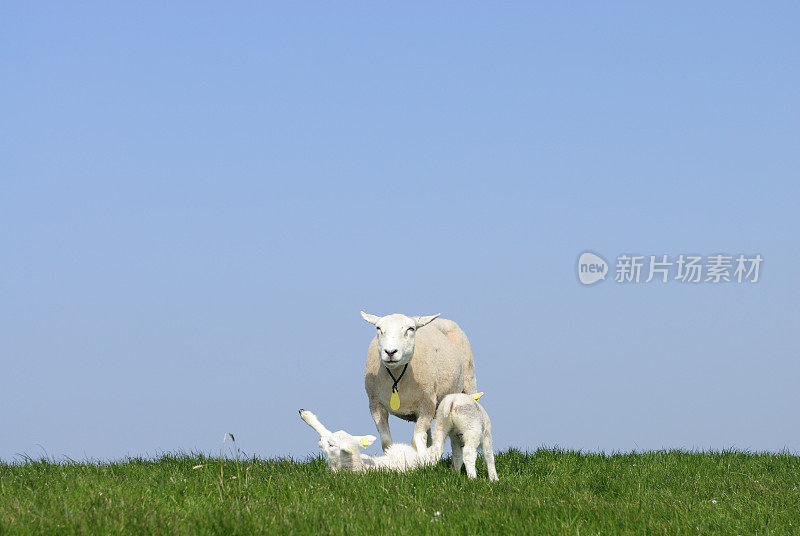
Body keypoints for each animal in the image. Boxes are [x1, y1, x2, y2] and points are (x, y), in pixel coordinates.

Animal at [360, 312, 478, 454]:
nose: (390, 352)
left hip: (469, 381)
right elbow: (386, 440)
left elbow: (416, 440)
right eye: (378, 328)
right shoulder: (375, 405)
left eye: (410, 329)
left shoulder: (428, 405)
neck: (397, 378)